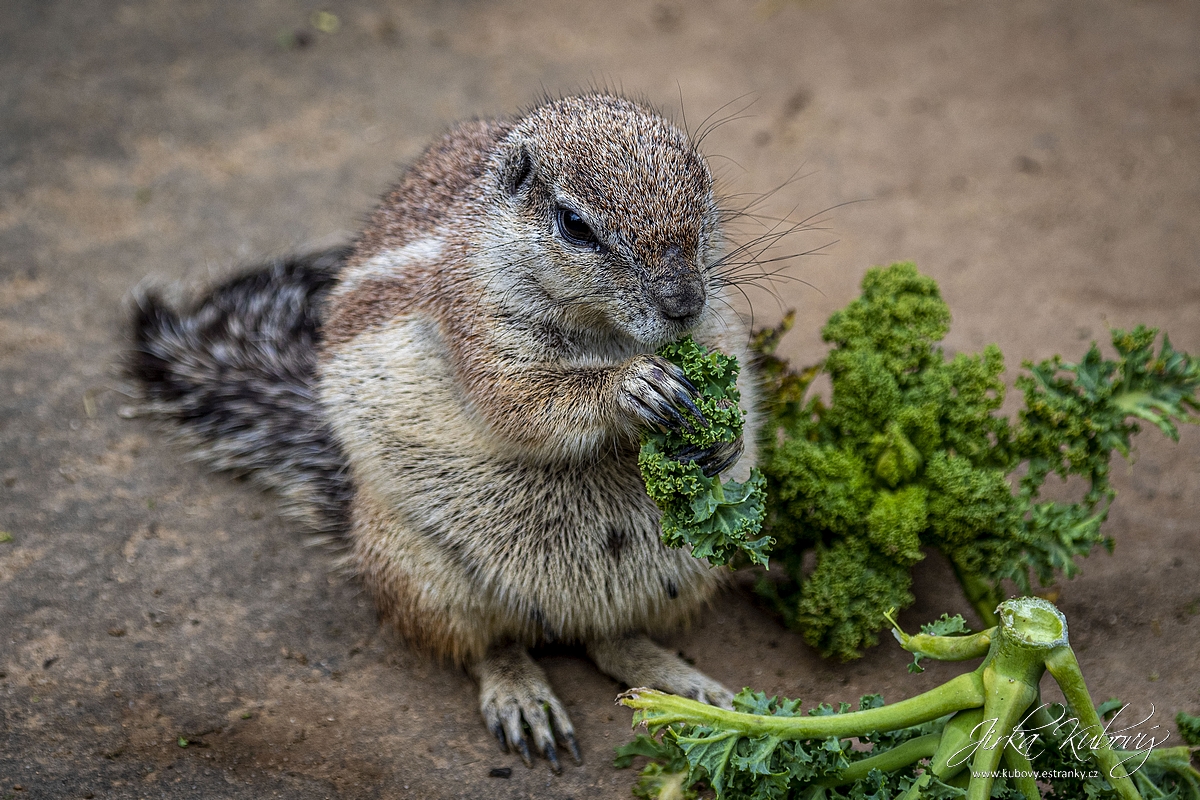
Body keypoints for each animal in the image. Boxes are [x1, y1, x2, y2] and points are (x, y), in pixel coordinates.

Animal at [129, 92, 758, 767]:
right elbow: (523, 402)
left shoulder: (716, 316)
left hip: (687, 569)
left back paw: (691, 690)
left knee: (611, 641)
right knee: (487, 645)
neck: (605, 333)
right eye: (574, 225)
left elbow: (726, 358)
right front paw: (633, 387)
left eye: (703, 184)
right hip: (422, 575)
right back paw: (525, 700)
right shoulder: (474, 322)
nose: (682, 302)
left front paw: (725, 441)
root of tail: (561, 616)